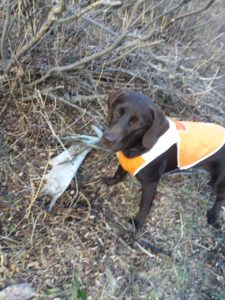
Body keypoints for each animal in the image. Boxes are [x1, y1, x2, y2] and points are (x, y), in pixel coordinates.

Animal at [101, 90, 225, 229]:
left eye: (137, 123)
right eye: (117, 111)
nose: (107, 139)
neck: (136, 147)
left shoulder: (151, 182)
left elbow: (145, 205)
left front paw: (138, 222)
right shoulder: (126, 161)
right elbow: (119, 173)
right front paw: (111, 181)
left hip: (219, 180)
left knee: (221, 197)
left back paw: (213, 215)